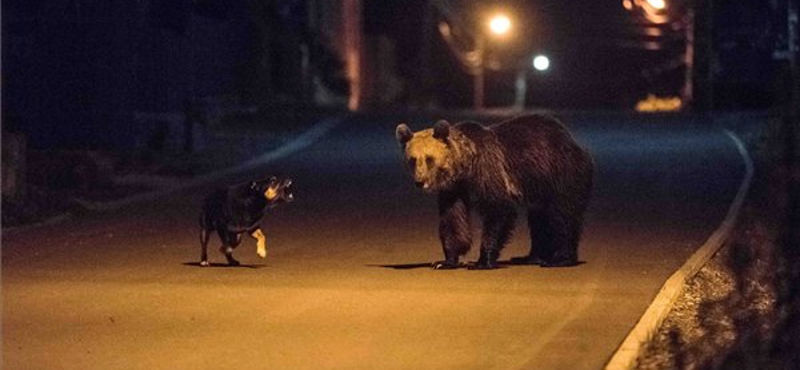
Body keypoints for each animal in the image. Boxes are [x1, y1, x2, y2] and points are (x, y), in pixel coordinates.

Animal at [396, 114, 592, 270]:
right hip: (538, 189)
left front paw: (482, 261)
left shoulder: (488, 170)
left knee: (562, 215)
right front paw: (446, 261)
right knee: (538, 219)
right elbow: (453, 219)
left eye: (429, 159)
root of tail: (573, 141)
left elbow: (498, 209)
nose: (420, 182)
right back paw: (529, 257)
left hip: (560, 174)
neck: (464, 167)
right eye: (412, 160)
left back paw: (559, 259)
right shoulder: (453, 189)